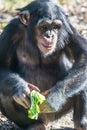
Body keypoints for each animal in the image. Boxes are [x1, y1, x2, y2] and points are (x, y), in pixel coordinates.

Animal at [0, 0, 87, 129]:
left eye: (55, 27)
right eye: (44, 27)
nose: (50, 35)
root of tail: (48, 121)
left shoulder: (69, 28)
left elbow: (83, 55)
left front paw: (54, 97)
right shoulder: (11, 30)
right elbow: (2, 66)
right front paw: (21, 88)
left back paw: (80, 123)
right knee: (5, 95)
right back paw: (34, 126)